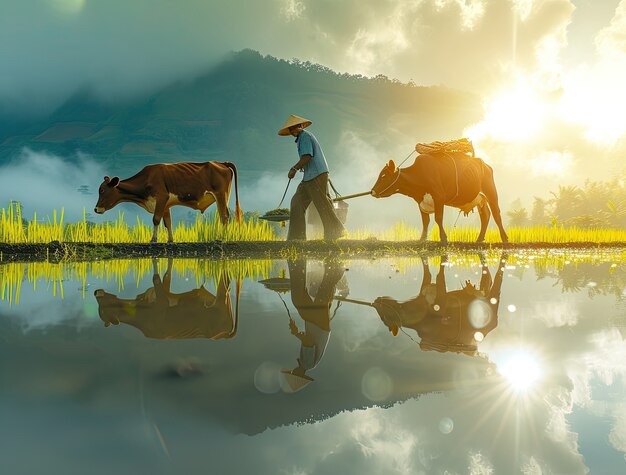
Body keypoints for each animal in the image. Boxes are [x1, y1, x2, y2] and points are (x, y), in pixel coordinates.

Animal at [93, 258, 239, 340]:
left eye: (102, 310)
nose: (95, 292)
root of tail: (225, 334)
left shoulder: (161, 300)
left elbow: (156, 279)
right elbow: (165, 277)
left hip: (221, 300)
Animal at [94, 162, 243, 244]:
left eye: (102, 190)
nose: (96, 209)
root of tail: (221, 162)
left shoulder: (161, 197)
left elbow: (155, 219)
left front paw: (153, 240)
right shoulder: (165, 205)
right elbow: (168, 222)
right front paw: (170, 240)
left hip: (221, 195)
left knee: (224, 216)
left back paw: (222, 238)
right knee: (225, 215)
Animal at [368, 152, 504, 244]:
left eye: (384, 176)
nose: (372, 191)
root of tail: (485, 164)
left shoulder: (439, 197)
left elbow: (438, 218)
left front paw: (443, 239)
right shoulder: (421, 202)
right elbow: (425, 221)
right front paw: (422, 239)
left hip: (490, 191)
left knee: (496, 214)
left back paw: (504, 239)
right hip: (480, 199)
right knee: (485, 215)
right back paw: (479, 239)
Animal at [372, 255, 504, 356]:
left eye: (383, 318)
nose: (376, 300)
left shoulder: (441, 301)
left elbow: (439, 275)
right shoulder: (425, 289)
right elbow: (428, 272)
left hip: (491, 302)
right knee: (487, 279)